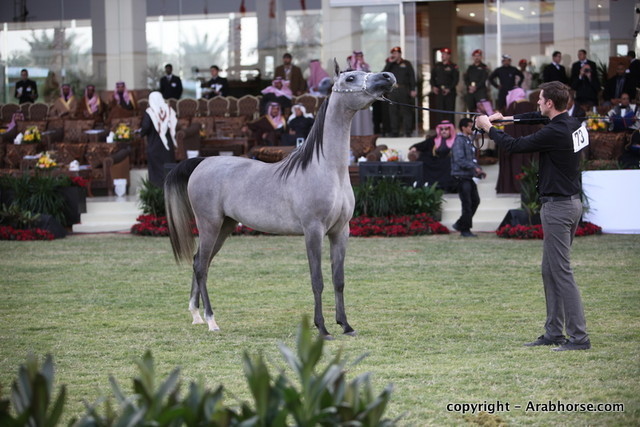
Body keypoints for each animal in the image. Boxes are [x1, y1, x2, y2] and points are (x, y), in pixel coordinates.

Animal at [164, 62, 396, 338]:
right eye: (350, 78)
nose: (388, 77)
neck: (327, 169)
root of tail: (203, 162)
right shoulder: (313, 231)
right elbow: (317, 280)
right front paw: (322, 328)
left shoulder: (341, 231)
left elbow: (338, 280)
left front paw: (346, 325)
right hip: (209, 224)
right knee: (201, 267)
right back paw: (211, 321)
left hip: (225, 226)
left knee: (200, 261)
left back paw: (196, 315)